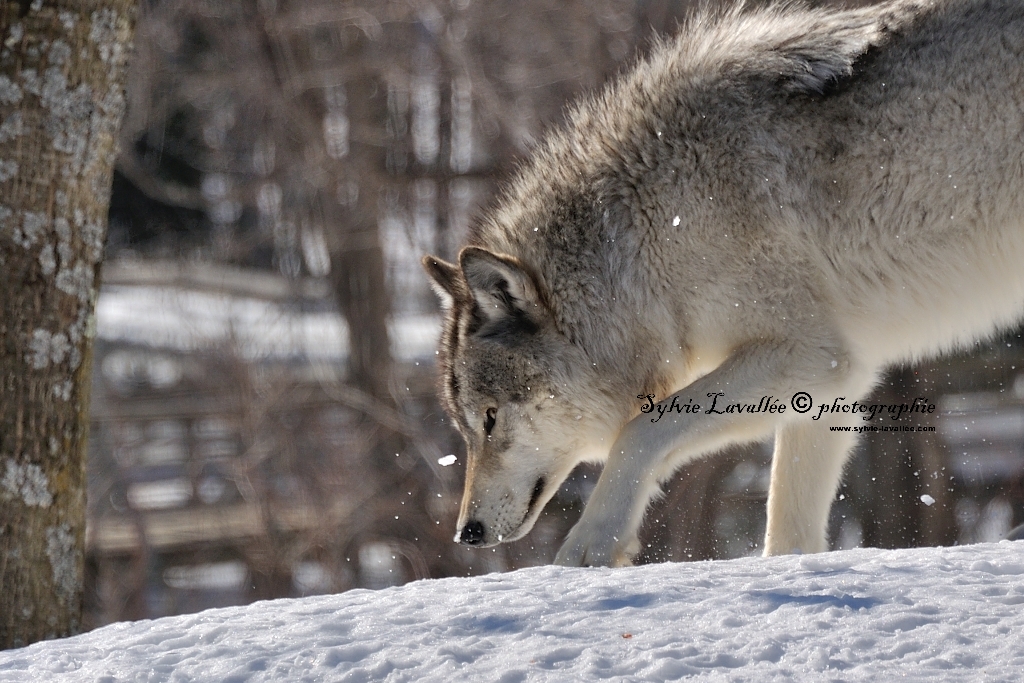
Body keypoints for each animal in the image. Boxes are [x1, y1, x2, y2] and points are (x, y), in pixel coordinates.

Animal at [421, 0, 1024, 565]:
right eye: (465, 428)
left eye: (490, 420)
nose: (466, 533)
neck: (642, 237)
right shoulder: (835, 384)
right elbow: (788, 532)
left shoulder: (809, 354)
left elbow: (640, 431)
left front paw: (590, 547)